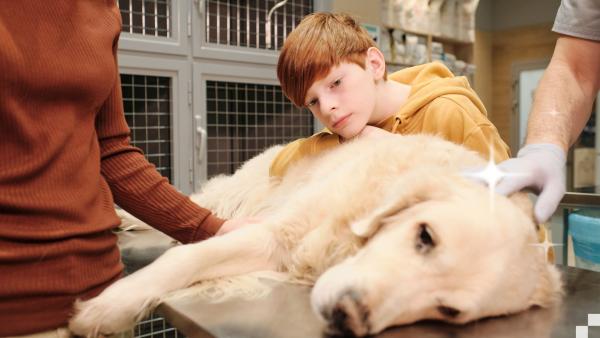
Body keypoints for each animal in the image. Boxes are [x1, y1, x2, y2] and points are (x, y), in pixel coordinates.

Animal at [70, 133, 564, 336]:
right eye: (425, 235)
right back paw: (121, 215)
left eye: (448, 311)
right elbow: (185, 259)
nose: (349, 315)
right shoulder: (274, 233)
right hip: (233, 199)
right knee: (187, 208)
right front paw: (109, 308)